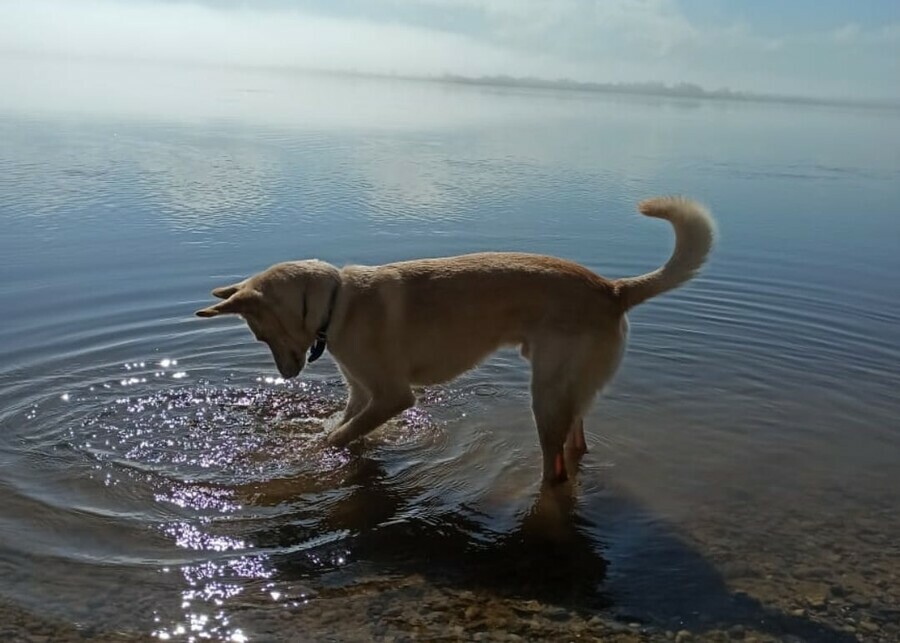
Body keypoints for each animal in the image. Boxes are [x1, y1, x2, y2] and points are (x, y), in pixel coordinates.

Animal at [197, 196, 716, 484]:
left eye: (259, 332)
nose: (288, 376)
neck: (336, 301)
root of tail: (613, 290)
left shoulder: (393, 397)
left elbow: (342, 435)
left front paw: (313, 452)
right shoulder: (361, 394)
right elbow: (344, 426)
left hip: (546, 396)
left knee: (556, 469)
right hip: (567, 392)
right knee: (578, 444)